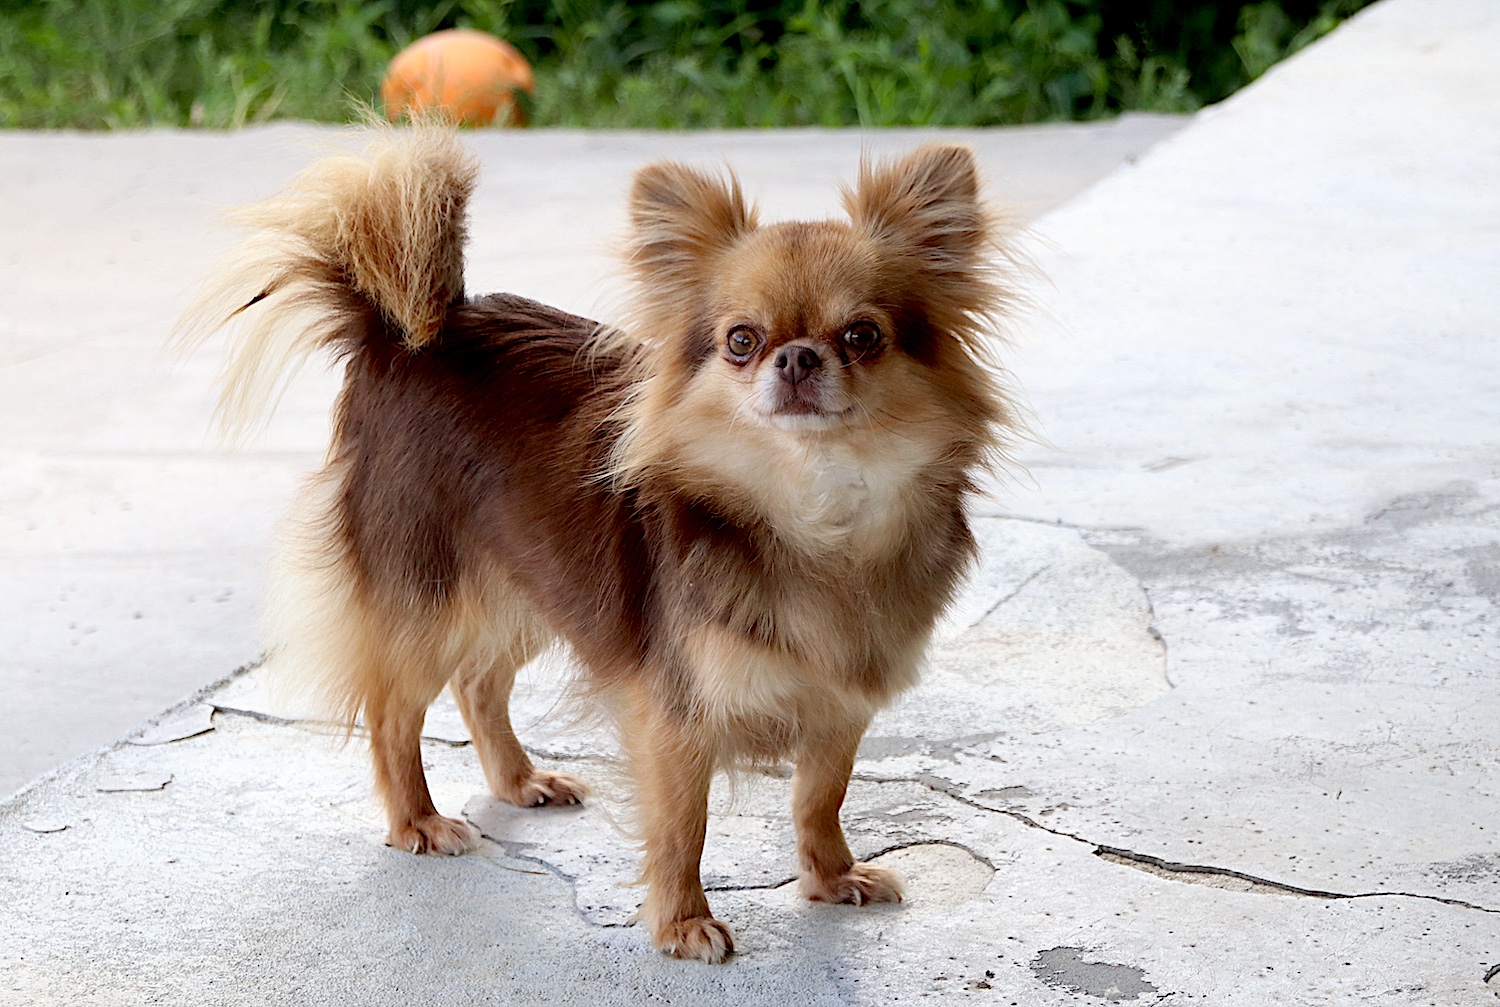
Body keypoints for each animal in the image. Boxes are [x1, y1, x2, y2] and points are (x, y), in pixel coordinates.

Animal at [181, 126, 1014, 960]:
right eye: (741, 341)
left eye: (863, 336)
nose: (798, 356)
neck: (815, 509)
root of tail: (405, 335)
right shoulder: (674, 713)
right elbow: (683, 825)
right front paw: (683, 921)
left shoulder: (842, 703)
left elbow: (821, 794)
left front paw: (832, 875)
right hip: (433, 605)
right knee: (395, 715)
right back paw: (417, 819)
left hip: (531, 586)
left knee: (478, 683)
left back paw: (520, 781)